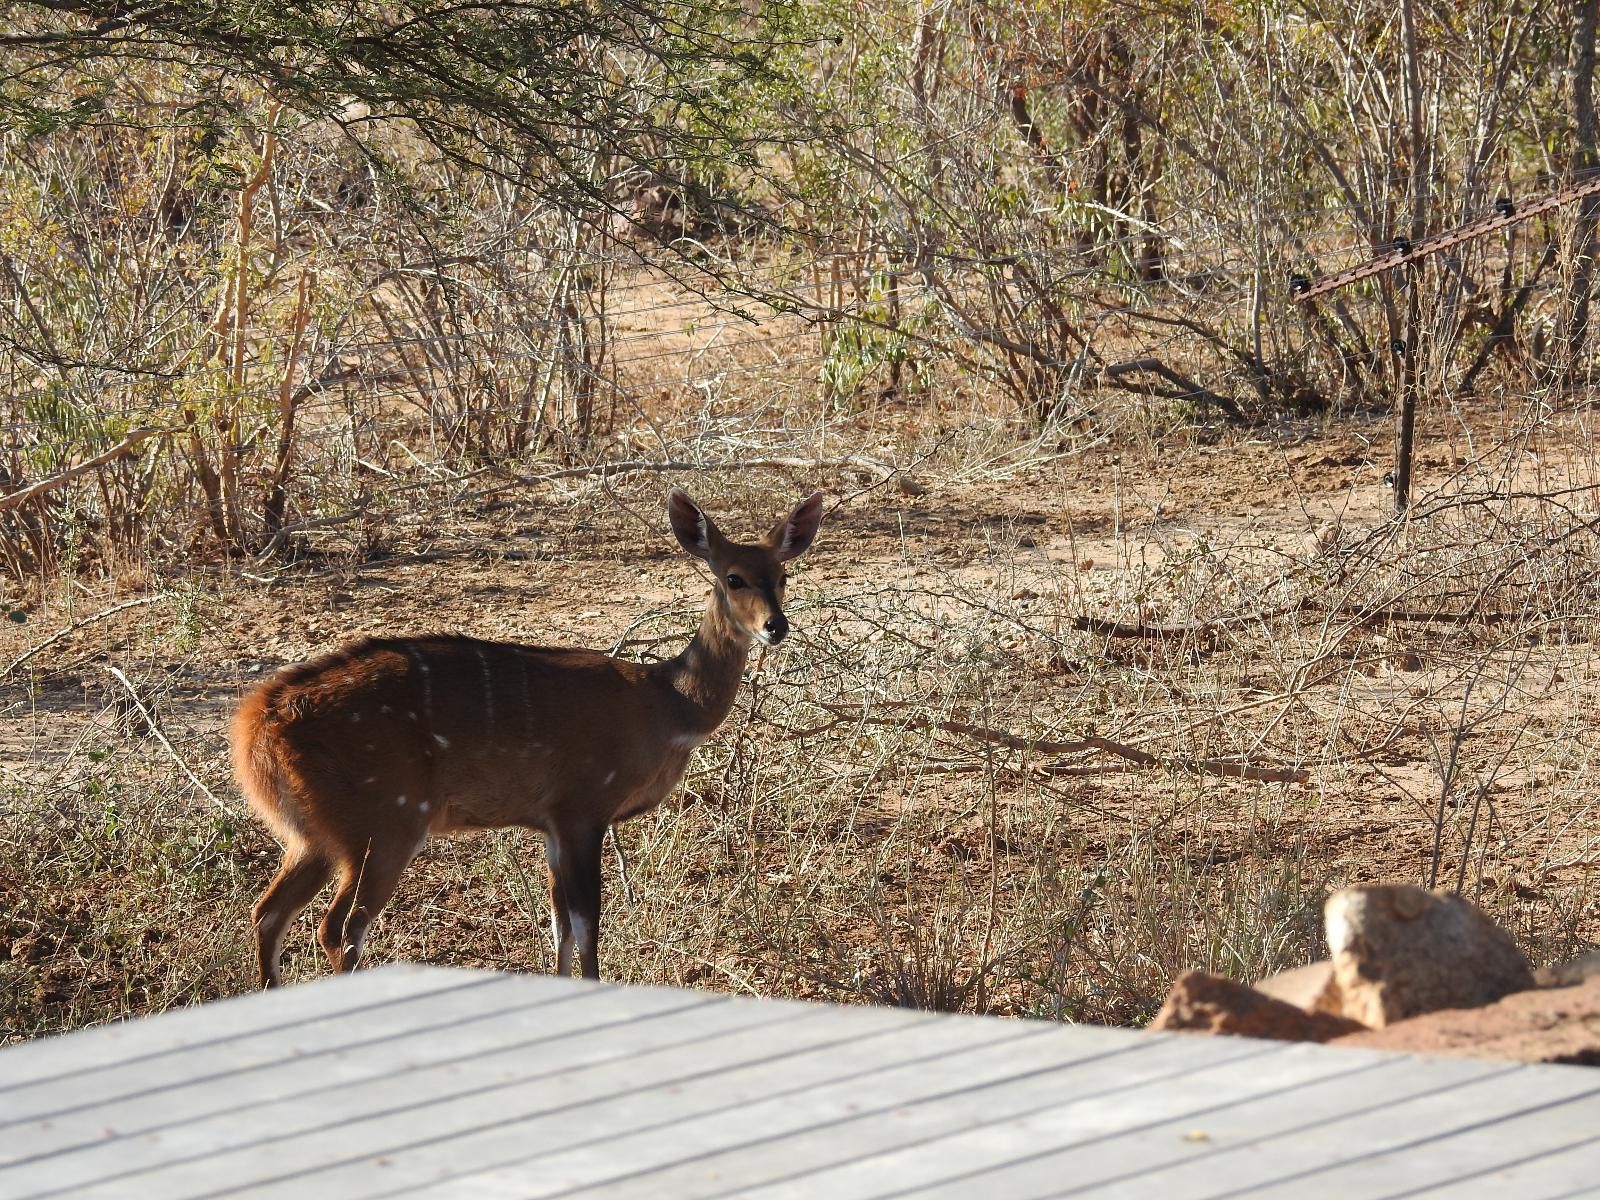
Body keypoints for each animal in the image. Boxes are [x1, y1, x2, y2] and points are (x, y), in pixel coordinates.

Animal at [232, 489, 825, 985]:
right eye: (733, 577)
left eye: (782, 575)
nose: (776, 626)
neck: (665, 705)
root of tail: (257, 722)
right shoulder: (582, 810)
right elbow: (586, 925)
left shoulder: (550, 826)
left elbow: (559, 926)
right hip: (385, 828)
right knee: (338, 930)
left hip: (313, 836)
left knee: (267, 913)